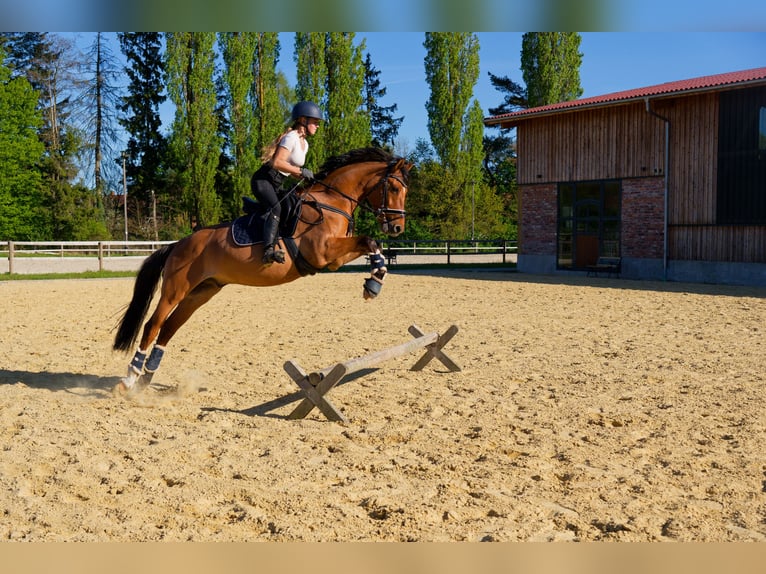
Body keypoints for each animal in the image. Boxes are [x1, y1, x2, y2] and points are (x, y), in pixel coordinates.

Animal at [112, 147, 413, 395]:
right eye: (393, 188)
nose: (397, 228)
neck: (331, 202)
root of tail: (178, 244)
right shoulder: (323, 252)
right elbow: (370, 241)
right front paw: (374, 284)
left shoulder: (334, 259)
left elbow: (372, 244)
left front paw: (374, 282)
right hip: (175, 289)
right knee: (153, 325)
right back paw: (129, 380)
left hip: (201, 292)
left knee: (169, 328)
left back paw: (146, 379)